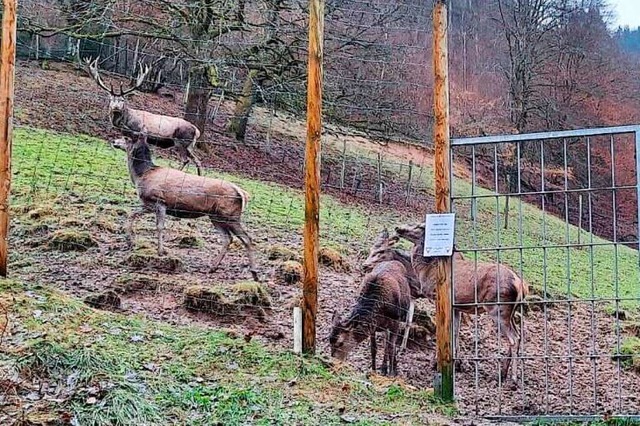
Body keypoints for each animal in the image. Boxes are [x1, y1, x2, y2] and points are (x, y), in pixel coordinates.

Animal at [112, 131, 258, 282]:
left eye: (126, 138)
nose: (114, 141)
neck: (142, 175)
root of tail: (242, 193)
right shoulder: (148, 204)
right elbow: (132, 214)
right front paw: (130, 241)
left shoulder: (160, 201)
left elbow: (159, 227)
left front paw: (160, 251)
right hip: (216, 216)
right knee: (228, 238)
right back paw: (213, 267)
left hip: (229, 215)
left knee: (246, 238)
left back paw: (254, 272)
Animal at [396, 221, 528, 384]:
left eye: (420, 226)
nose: (398, 228)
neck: (427, 271)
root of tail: (520, 285)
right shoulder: (457, 307)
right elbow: (456, 332)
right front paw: (457, 363)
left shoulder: (438, 298)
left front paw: (437, 362)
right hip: (511, 311)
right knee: (518, 335)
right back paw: (502, 373)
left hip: (498, 308)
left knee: (514, 339)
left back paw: (513, 379)